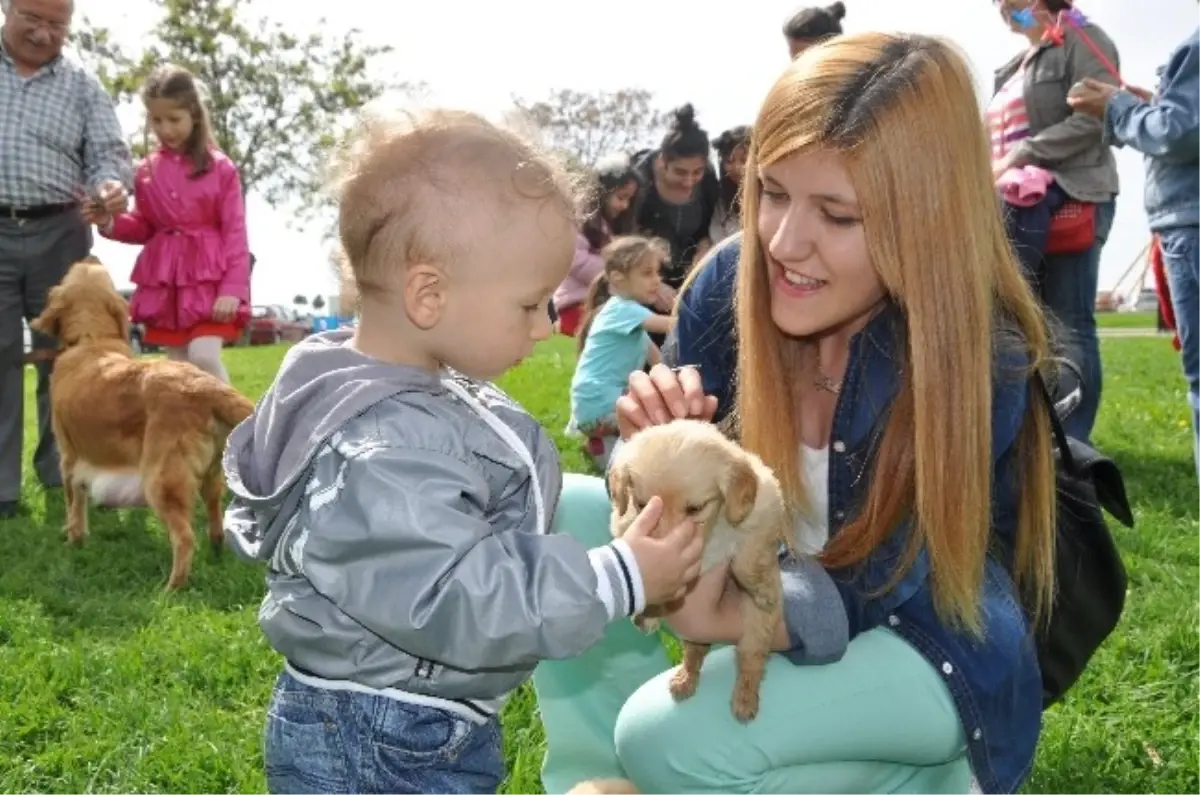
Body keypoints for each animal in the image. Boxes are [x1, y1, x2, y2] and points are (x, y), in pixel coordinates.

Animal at [30, 256, 255, 590]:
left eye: (71, 271)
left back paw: (171, 589)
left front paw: (73, 540)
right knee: (215, 524)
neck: (92, 340)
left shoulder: (69, 457)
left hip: (161, 480)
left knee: (185, 538)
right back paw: (215, 556)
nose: (90, 256)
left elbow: (75, 505)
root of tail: (207, 387)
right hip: (212, 474)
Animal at [609, 420, 796, 725]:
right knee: (696, 651)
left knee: (751, 658)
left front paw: (764, 591)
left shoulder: (763, 513)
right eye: (641, 504)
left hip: (757, 627)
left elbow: (745, 562)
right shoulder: (624, 526)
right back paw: (685, 679)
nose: (665, 546)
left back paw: (745, 699)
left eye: (695, 508)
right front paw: (647, 614)